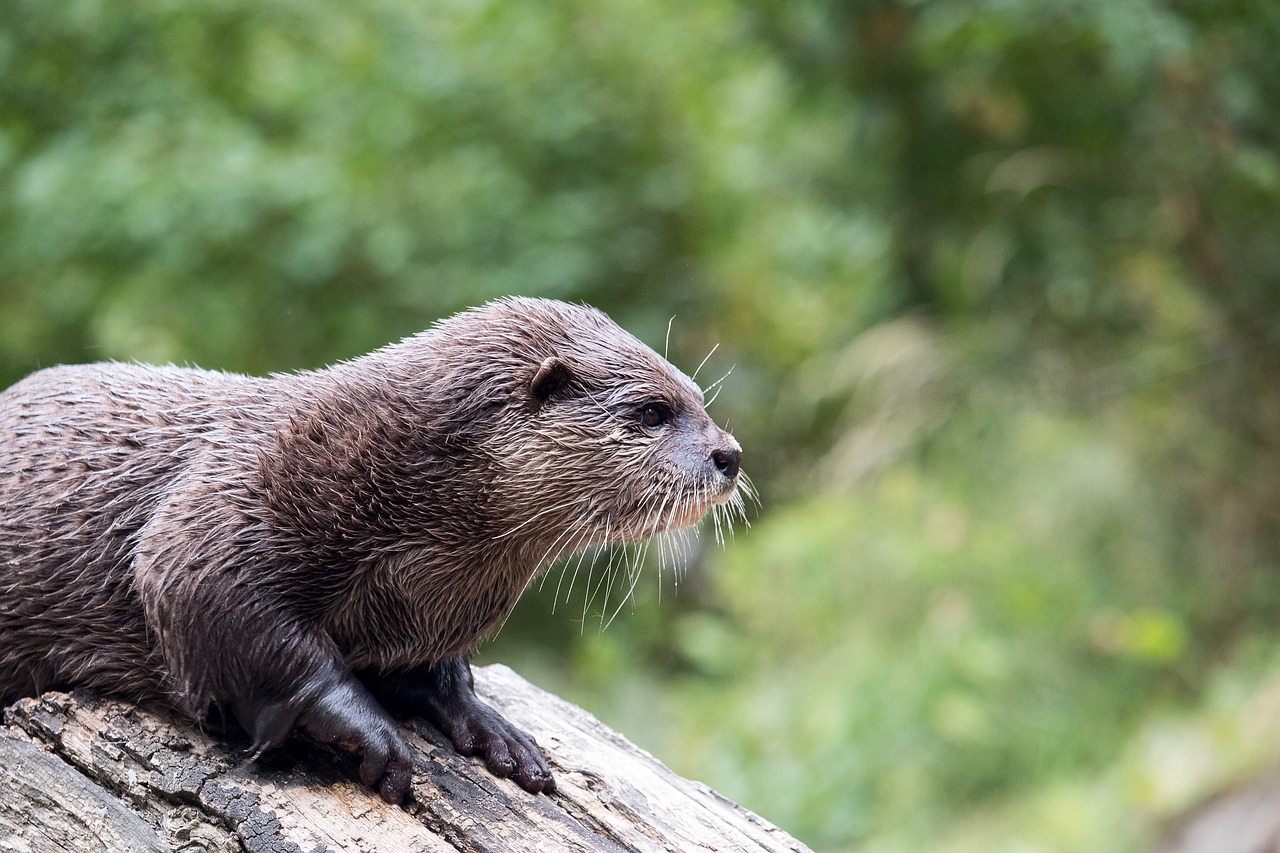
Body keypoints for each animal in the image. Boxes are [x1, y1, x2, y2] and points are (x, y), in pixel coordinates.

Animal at [0, 295, 742, 799]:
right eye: (652, 411)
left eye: (698, 398)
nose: (730, 453)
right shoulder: (219, 515)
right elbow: (218, 605)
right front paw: (368, 728)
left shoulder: (428, 610)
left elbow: (432, 671)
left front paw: (489, 724)